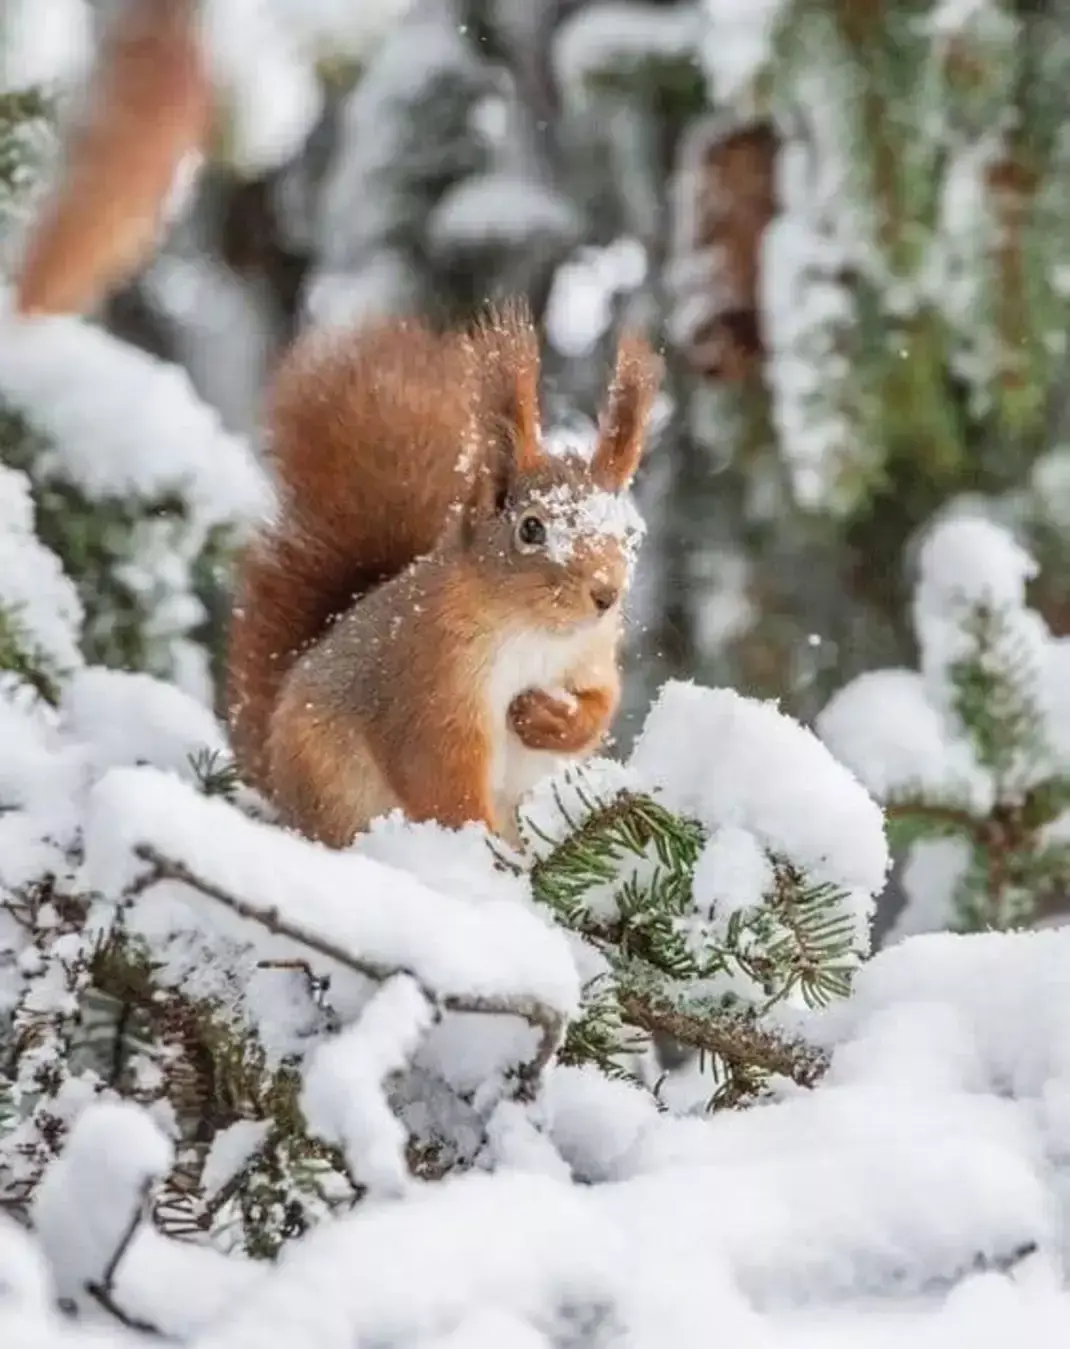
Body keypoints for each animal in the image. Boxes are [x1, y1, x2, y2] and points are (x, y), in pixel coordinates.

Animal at [225, 302, 658, 847]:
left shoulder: (591, 657)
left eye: (631, 532)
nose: (605, 595)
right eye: (531, 529)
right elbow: (440, 779)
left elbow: (601, 703)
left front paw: (546, 718)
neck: (533, 632)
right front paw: (480, 848)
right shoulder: (431, 687)